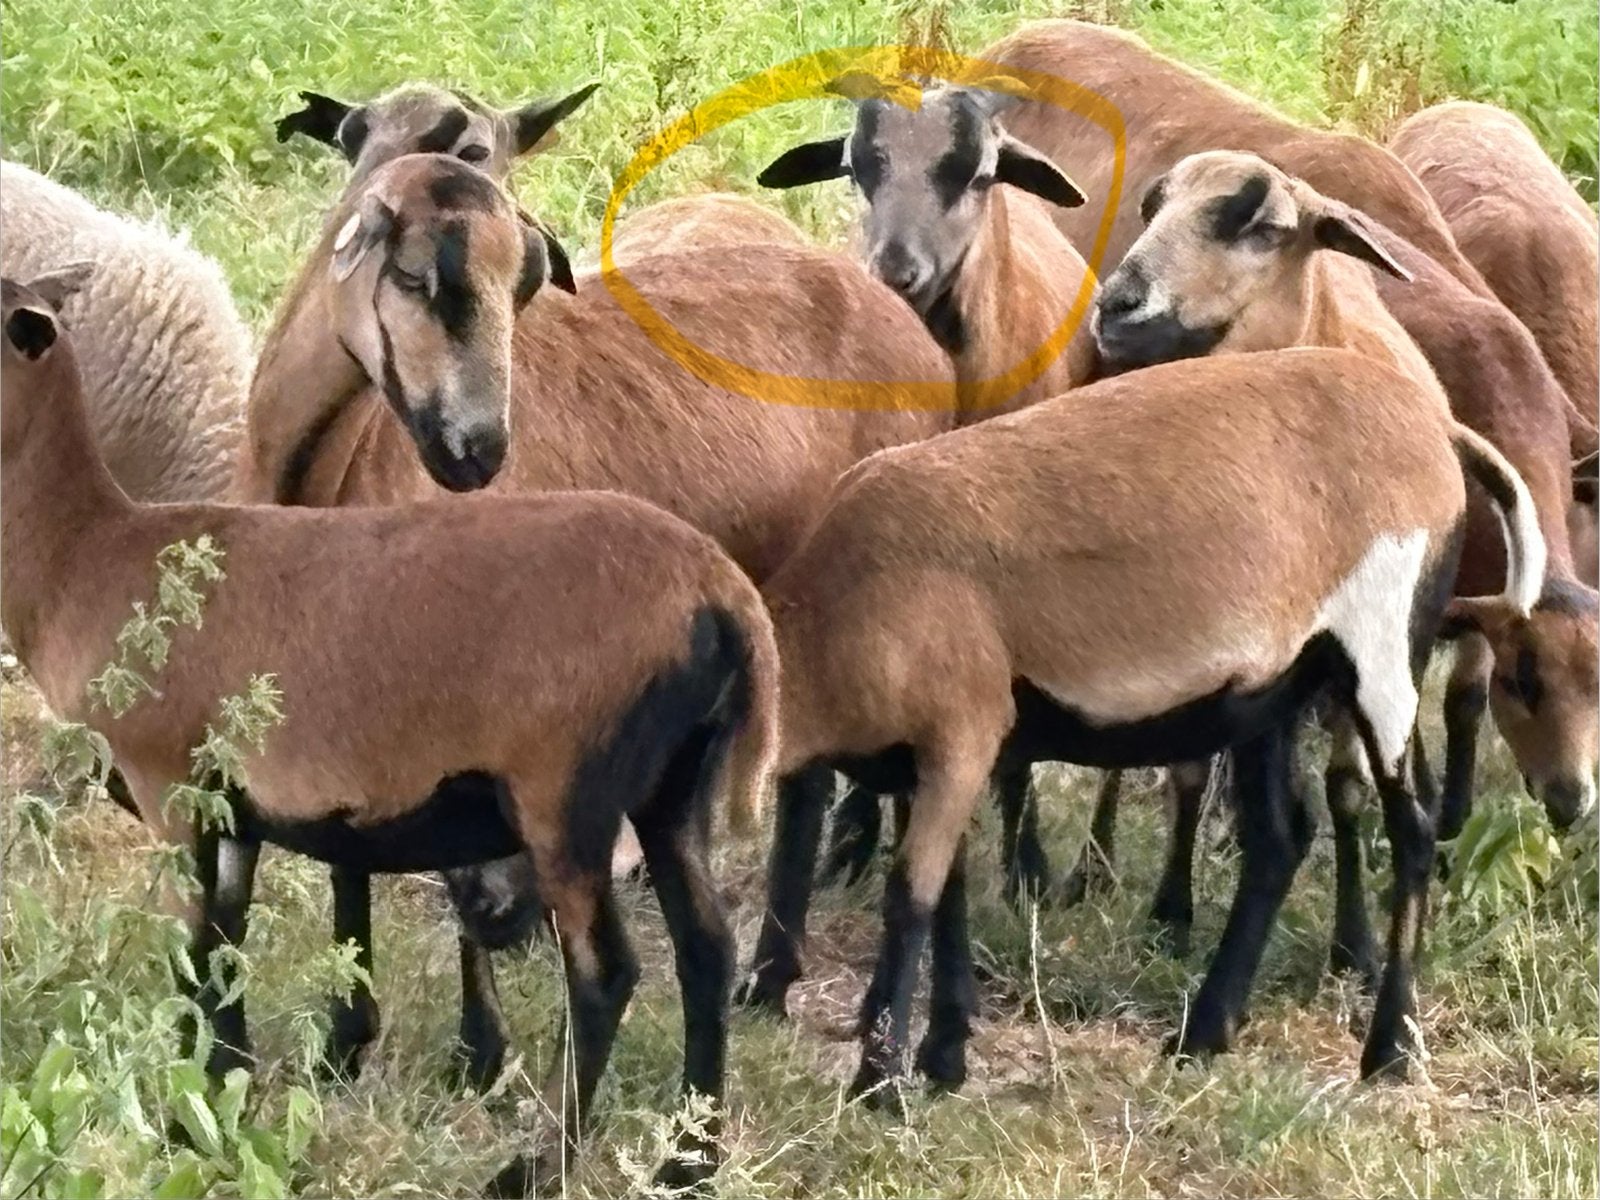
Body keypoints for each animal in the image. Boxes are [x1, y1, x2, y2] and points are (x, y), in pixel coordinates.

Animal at [1, 266, 778, 1195]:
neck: (85, 556)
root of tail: (720, 593)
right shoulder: (231, 806)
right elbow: (224, 945)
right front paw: (222, 1098)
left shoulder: (170, 786)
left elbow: (192, 954)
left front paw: (184, 1123)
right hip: (674, 781)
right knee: (706, 949)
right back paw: (688, 1162)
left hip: (568, 791)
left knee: (605, 974)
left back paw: (534, 1168)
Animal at [237, 150, 957, 1080]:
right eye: (411, 274)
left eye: (524, 287)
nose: (479, 454)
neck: (338, 461)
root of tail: (909, 332)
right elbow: (344, 852)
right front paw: (347, 1037)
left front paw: (475, 1049)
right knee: (805, 782)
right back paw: (770, 981)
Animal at [741, 345, 1543, 1104]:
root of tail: (1434, 427)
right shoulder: (932, 761)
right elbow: (949, 894)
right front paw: (942, 1059)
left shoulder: (962, 733)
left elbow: (910, 897)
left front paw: (881, 1085)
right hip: (1276, 690)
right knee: (1279, 839)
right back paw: (1205, 1032)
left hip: (1384, 648)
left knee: (1412, 831)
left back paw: (1390, 1048)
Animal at [1079, 151, 1598, 971]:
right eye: (1527, 682)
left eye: (1266, 228)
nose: (1574, 803)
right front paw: (1172, 912)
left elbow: (1385, 756)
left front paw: (1363, 930)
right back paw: (1099, 864)